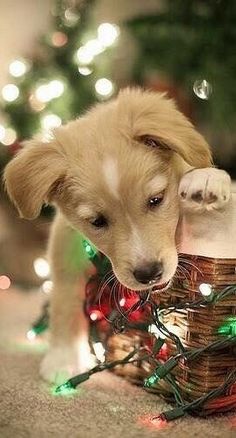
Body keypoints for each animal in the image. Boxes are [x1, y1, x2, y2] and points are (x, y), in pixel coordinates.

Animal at [3, 87, 231, 382]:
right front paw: (64, 356)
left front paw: (206, 177)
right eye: (97, 221)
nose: (149, 273)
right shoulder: (66, 240)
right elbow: (65, 294)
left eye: (156, 200)